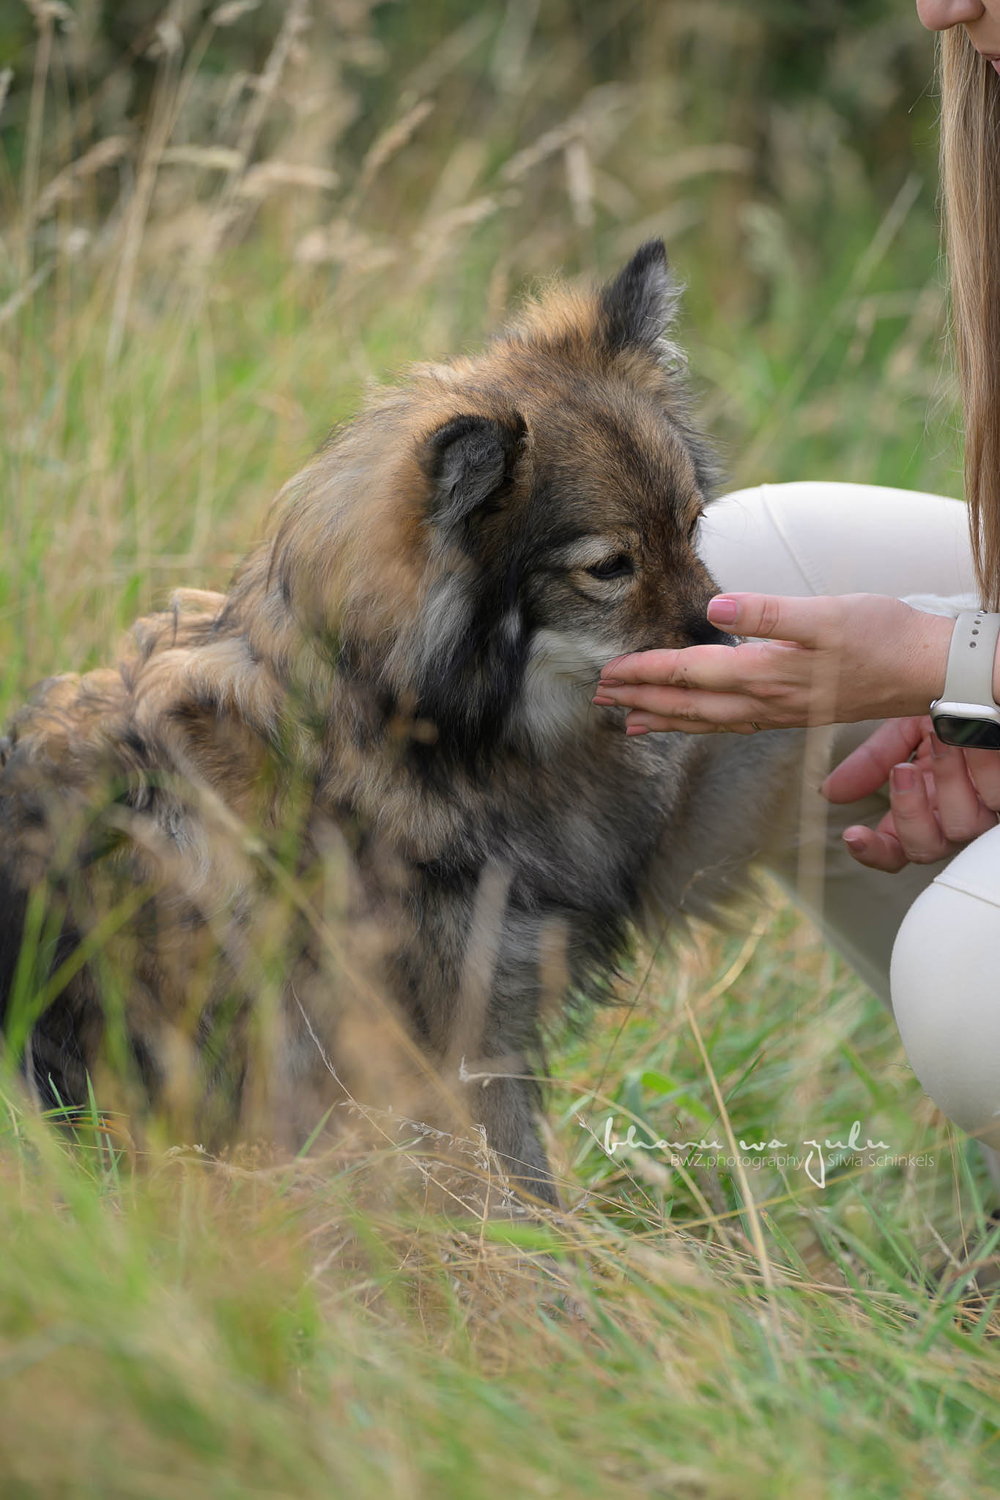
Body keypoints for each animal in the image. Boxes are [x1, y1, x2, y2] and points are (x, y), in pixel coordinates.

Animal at [0, 246, 797, 1206]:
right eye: (609, 567)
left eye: (690, 528)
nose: (730, 648)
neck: (408, 730)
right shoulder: (444, 1045)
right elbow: (510, 1189)